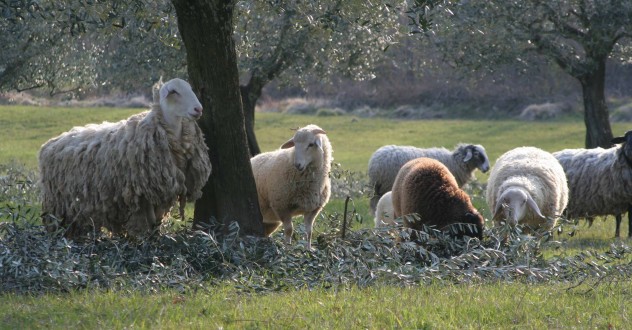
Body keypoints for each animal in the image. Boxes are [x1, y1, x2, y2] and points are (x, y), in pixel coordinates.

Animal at [39, 77, 212, 237]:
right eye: (174, 92)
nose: (198, 109)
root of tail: (50, 143)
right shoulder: (141, 196)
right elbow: (147, 224)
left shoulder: (160, 193)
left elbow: (156, 223)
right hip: (57, 205)